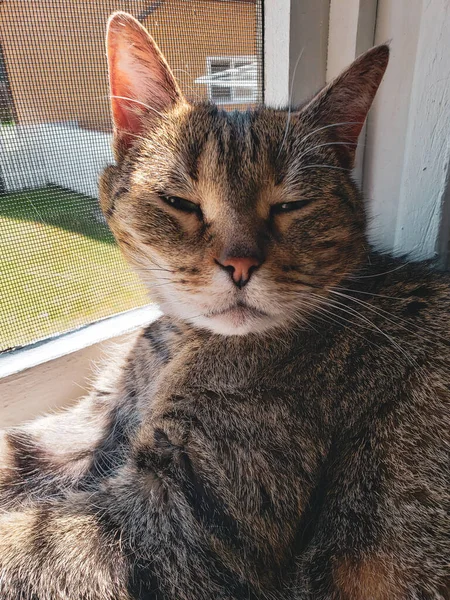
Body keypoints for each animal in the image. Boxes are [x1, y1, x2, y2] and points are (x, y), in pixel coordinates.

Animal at [0, 10, 448, 600]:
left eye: (292, 205)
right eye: (180, 201)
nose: (239, 263)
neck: (179, 345)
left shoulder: (184, 520)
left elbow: (33, 546)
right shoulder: (98, 422)